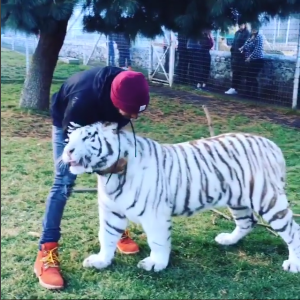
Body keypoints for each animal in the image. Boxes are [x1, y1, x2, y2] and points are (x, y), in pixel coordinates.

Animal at [61, 120, 300, 274]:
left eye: (88, 137)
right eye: (68, 138)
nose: (68, 151)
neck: (109, 173)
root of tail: (272, 145)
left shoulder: (154, 214)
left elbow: (157, 241)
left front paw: (156, 264)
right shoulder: (111, 211)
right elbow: (107, 236)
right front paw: (101, 261)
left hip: (268, 200)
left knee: (292, 230)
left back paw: (294, 264)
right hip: (238, 200)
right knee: (247, 222)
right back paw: (227, 240)